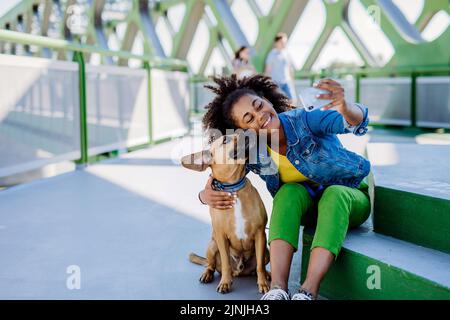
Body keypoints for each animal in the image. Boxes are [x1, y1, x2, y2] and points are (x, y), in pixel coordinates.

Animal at [180, 134, 270, 294]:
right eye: (225, 140)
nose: (246, 131)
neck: (233, 188)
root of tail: (240, 271)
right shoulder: (221, 237)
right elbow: (226, 262)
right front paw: (225, 282)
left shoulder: (260, 234)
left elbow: (260, 266)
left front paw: (263, 283)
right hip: (212, 245)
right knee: (211, 265)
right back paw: (207, 274)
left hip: (266, 251)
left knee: (260, 266)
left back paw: (267, 274)